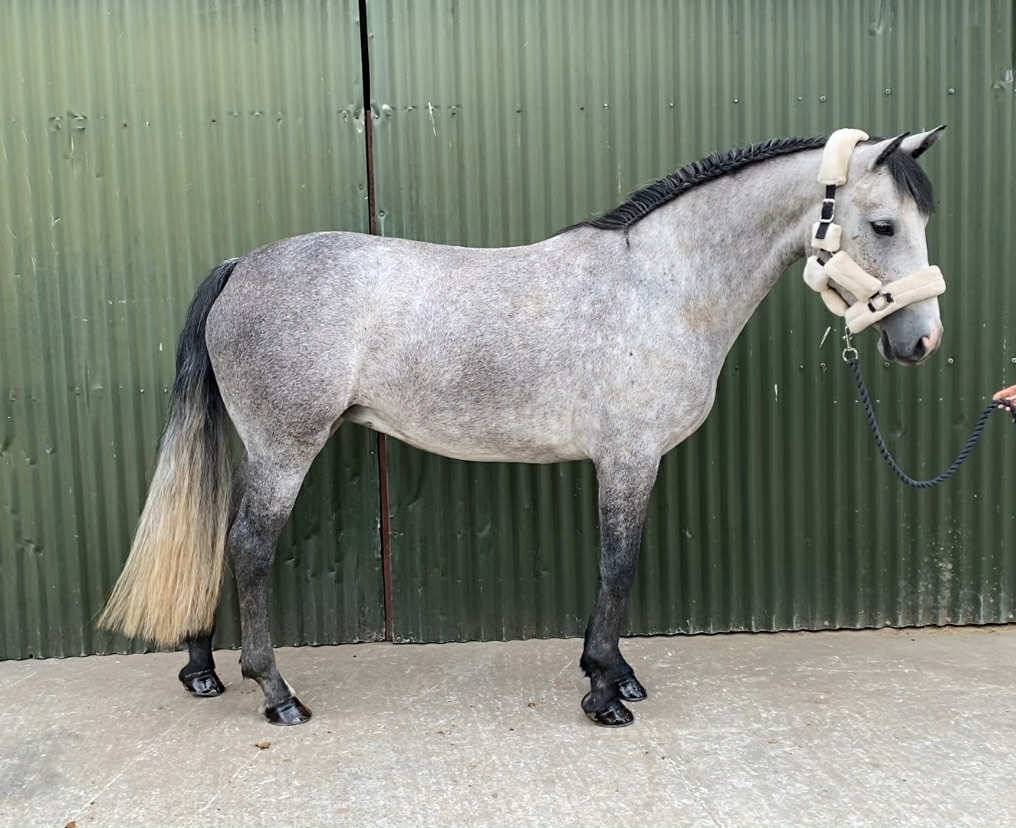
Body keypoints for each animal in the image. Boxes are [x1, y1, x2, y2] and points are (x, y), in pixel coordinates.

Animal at [100, 127, 948, 727]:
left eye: (921, 220)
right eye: (882, 224)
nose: (921, 343)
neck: (661, 284)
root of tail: (242, 266)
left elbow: (611, 570)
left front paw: (613, 675)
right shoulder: (629, 459)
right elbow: (618, 568)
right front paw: (605, 693)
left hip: (257, 448)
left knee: (213, 532)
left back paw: (202, 669)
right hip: (286, 448)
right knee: (248, 549)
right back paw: (276, 694)